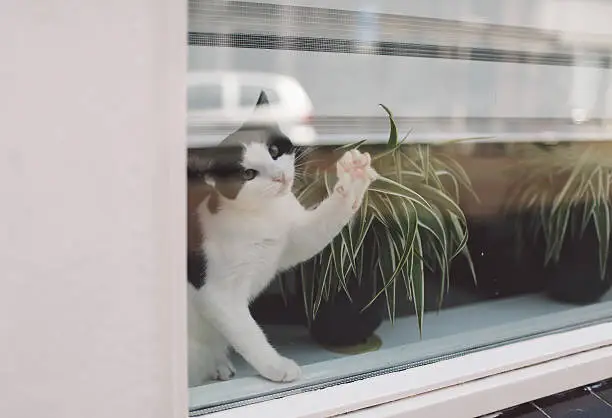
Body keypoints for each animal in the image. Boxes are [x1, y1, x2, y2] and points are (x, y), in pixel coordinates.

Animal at [186, 90, 378, 386]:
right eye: (248, 174)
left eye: (274, 151)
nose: (278, 177)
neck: (263, 215)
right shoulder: (218, 295)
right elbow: (248, 332)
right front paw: (276, 366)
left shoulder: (291, 237)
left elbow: (313, 233)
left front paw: (353, 178)